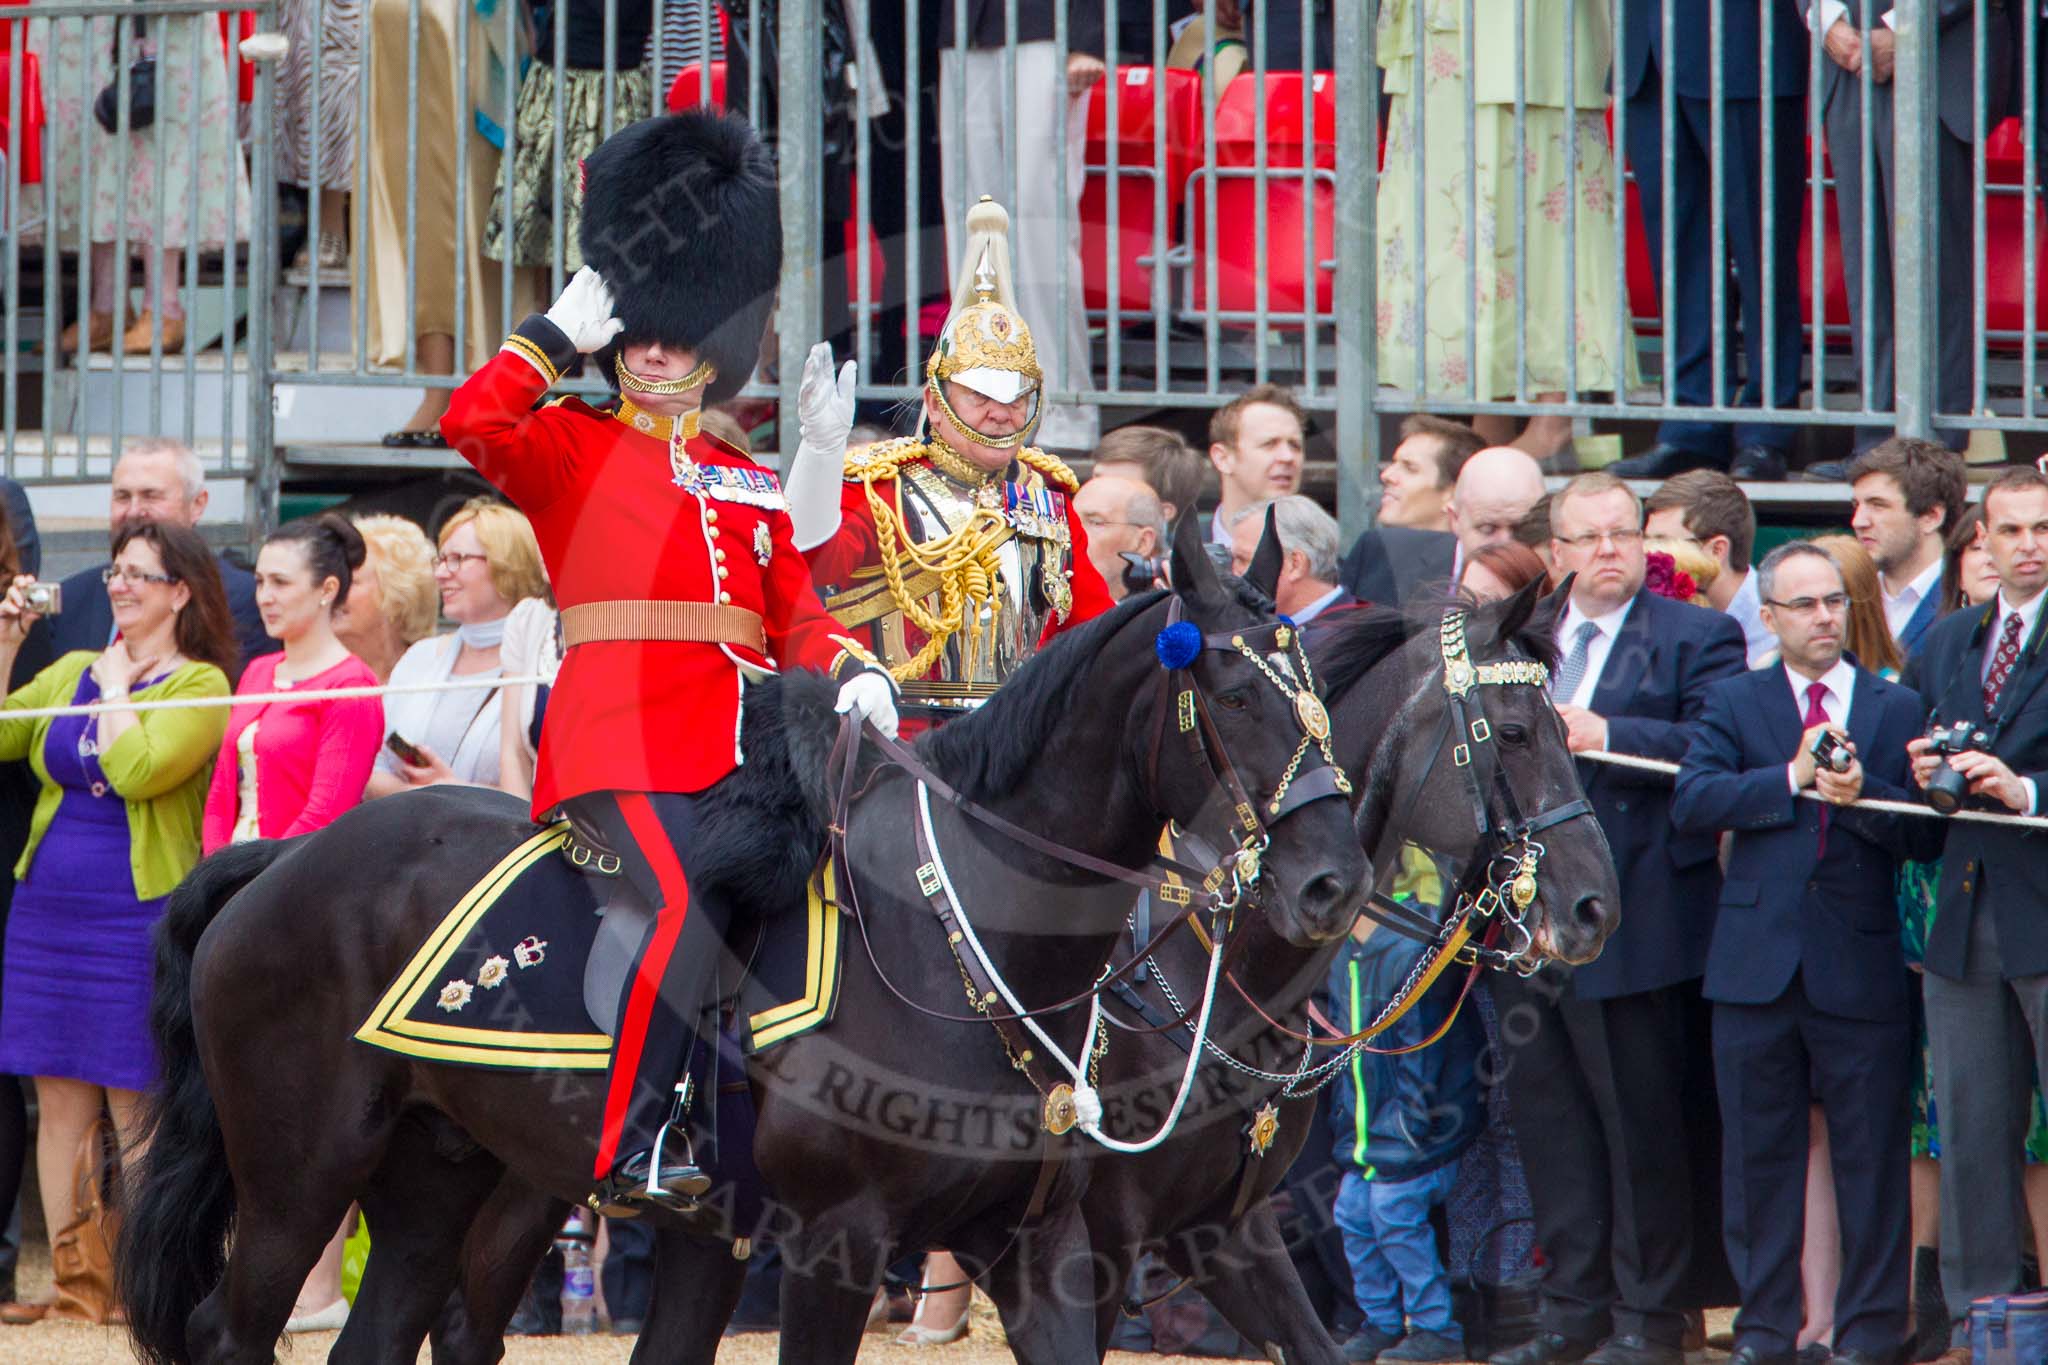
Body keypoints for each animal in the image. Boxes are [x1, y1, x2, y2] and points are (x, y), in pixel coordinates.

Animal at [108, 517, 1359, 1358]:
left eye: (1319, 687)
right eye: (1232, 696)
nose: (1331, 883)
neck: (953, 935)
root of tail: (286, 859)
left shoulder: (1040, 1250)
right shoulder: (834, 1245)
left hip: (439, 1177)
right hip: (299, 1175)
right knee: (228, 1330)